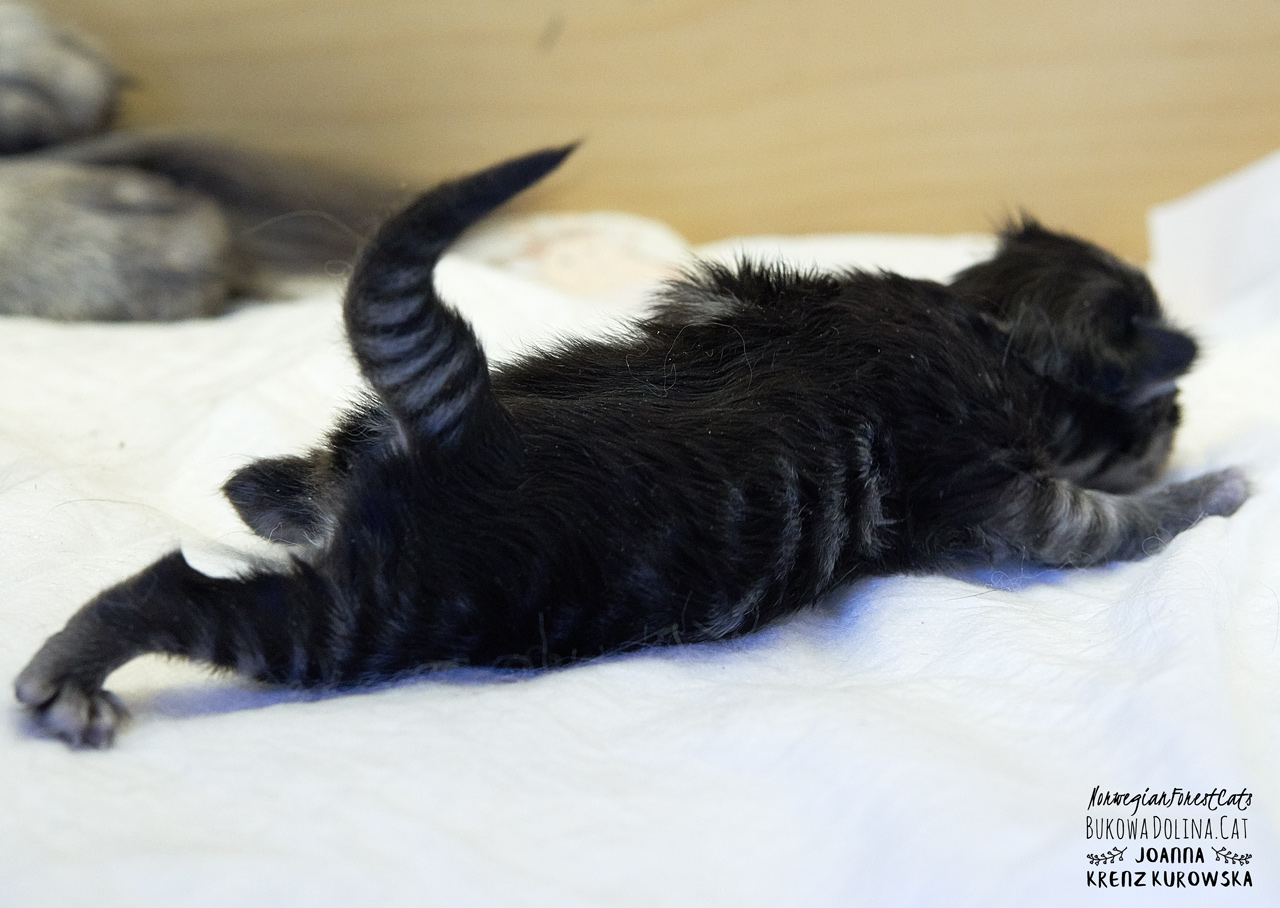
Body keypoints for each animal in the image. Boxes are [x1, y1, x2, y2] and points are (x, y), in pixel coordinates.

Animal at [14, 146, 1248, 747]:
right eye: (1161, 413)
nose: (1181, 420)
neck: (980, 322)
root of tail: (468, 423)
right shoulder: (1013, 498)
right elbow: (1120, 522)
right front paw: (1219, 485)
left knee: (284, 489)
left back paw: (270, 488)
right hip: (376, 609)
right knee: (176, 593)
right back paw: (68, 675)